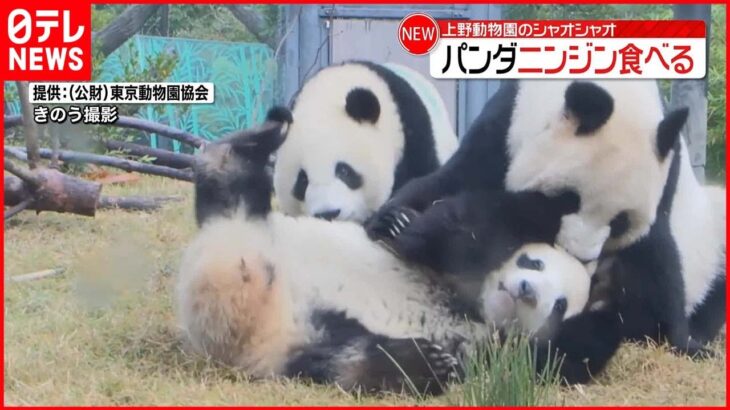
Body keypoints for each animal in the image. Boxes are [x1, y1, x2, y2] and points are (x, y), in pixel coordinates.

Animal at [178, 110, 596, 396]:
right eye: (532, 262)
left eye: (560, 304)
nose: (525, 289)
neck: (472, 302)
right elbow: (476, 221)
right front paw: (400, 226)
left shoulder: (496, 346)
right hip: (252, 227)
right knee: (232, 182)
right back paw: (260, 135)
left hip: (298, 332)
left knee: (345, 358)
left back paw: (424, 362)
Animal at [366, 79, 724, 366]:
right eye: (568, 199)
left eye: (619, 222)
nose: (581, 257)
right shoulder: (504, 127)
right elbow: (454, 179)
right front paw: (393, 220)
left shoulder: (664, 182)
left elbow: (655, 260)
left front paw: (684, 343)